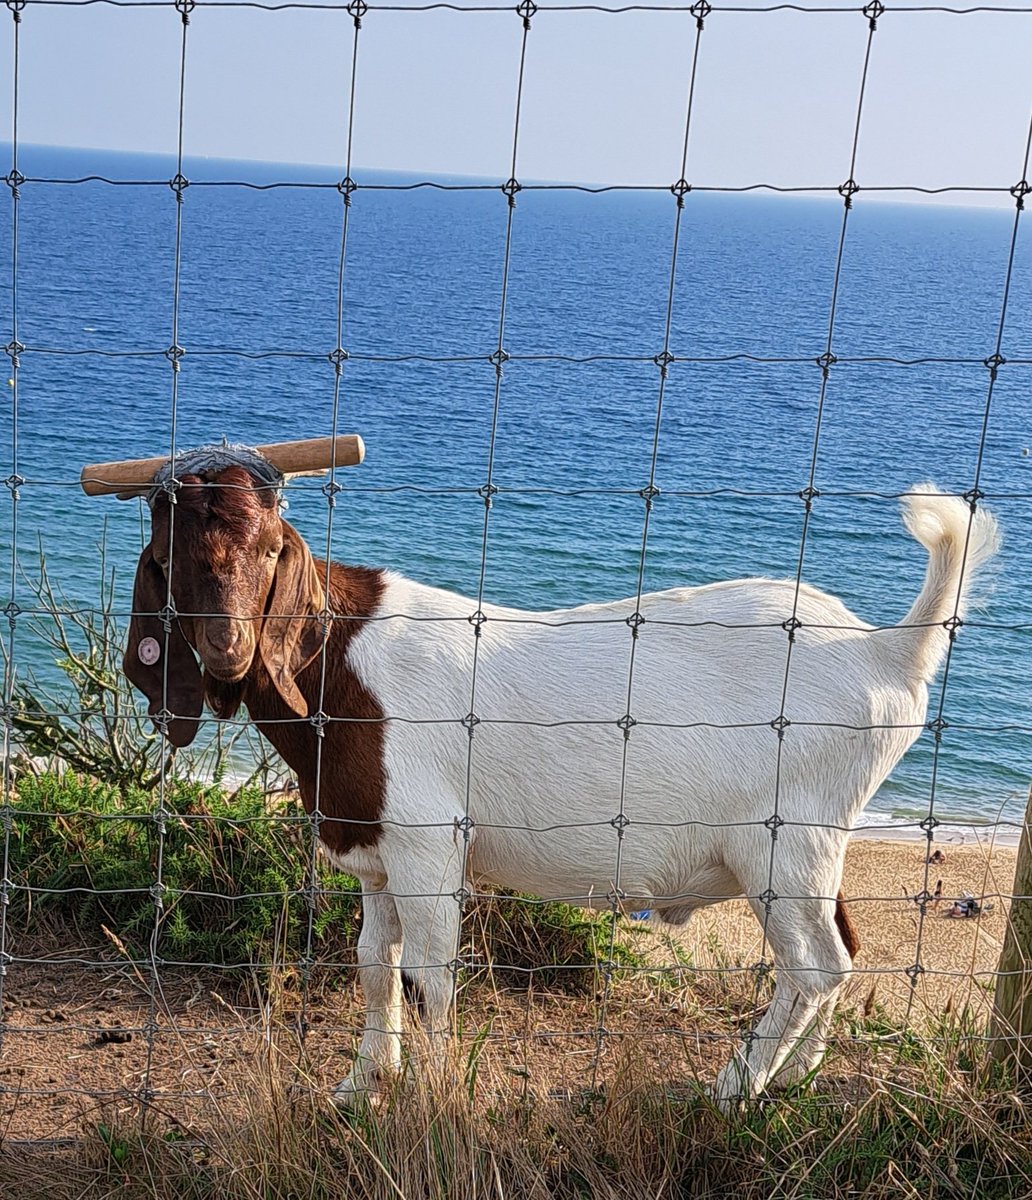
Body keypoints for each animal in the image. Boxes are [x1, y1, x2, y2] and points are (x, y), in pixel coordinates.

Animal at [123, 459, 999, 1104]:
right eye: (173, 561)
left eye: (273, 549)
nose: (230, 651)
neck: (338, 666)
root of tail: (884, 652)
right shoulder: (374, 849)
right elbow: (374, 963)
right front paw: (361, 1084)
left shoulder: (428, 843)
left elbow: (428, 972)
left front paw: (430, 1103)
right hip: (819, 843)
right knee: (844, 948)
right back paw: (795, 1078)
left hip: (785, 843)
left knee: (816, 962)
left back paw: (733, 1088)